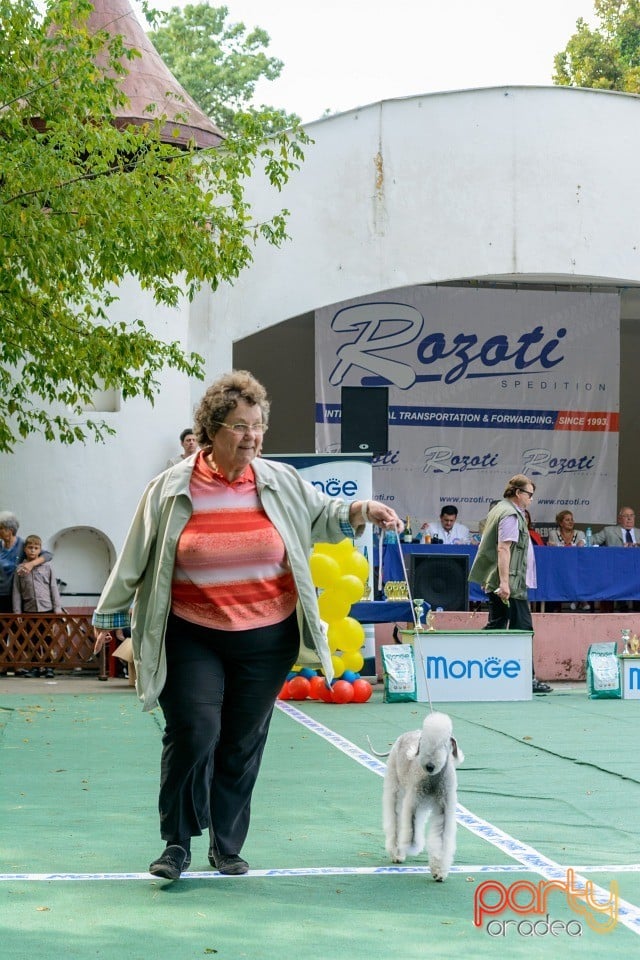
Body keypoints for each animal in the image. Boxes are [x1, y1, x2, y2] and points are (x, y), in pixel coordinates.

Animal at [380, 708, 464, 880]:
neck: (433, 778)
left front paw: (439, 871)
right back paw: (397, 853)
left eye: (443, 743)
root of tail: (402, 737)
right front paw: (412, 846)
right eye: (424, 741)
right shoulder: (414, 801)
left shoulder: (444, 806)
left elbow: (442, 838)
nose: (429, 766)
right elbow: (411, 829)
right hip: (396, 789)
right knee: (395, 819)